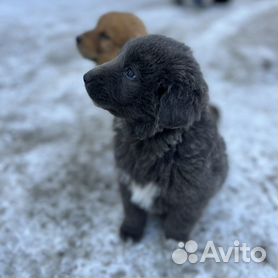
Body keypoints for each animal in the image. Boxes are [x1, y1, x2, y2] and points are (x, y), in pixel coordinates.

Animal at [83, 34, 228, 241]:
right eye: (119, 57)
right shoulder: (126, 178)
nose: (85, 77)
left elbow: (179, 221)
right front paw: (130, 232)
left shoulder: (192, 194)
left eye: (130, 73)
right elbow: (132, 210)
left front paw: (174, 242)